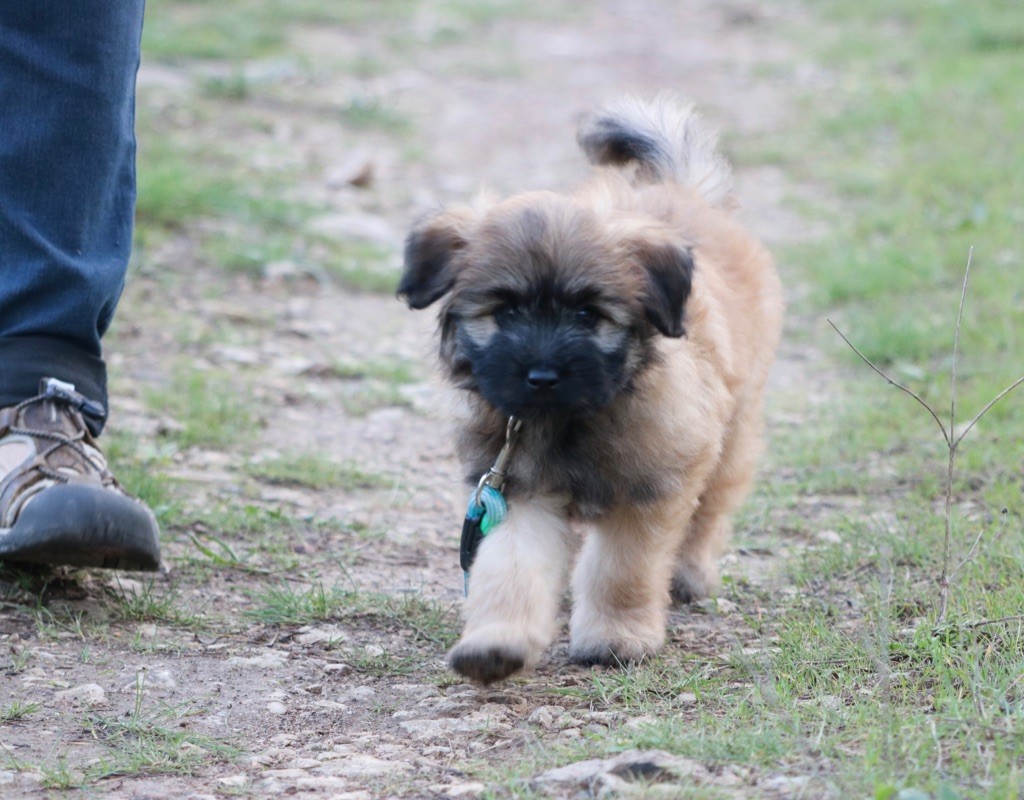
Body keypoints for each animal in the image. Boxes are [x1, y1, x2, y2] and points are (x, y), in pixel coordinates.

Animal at [395, 93, 778, 680]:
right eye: (505, 310)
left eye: (586, 313)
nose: (542, 376)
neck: (569, 420)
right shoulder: (514, 492)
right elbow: (509, 568)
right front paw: (495, 643)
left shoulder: (650, 488)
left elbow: (622, 569)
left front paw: (617, 636)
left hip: (733, 431)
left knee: (710, 510)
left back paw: (688, 573)